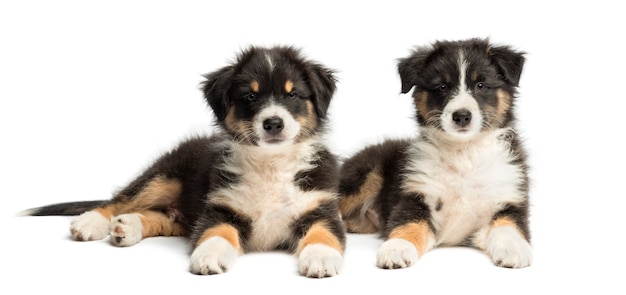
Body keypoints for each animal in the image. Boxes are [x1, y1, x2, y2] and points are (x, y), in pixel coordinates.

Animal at [23, 45, 346, 278]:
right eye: (250, 97)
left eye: (293, 95)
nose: (273, 123)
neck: (272, 163)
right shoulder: (220, 207)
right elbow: (216, 232)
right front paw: (210, 255)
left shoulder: (321, 208)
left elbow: (324, 233)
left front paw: (320, 257)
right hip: (165, 177)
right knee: (121, 199)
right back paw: (92, 221)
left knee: (160, 218)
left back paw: (127, 227)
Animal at [336, 38, 532, 270]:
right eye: (442, 87)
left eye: (481, 85)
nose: (462, 116)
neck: (463, 153)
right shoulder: (416, 195)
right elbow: (408, 224)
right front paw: (397, 248)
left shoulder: (509, 199)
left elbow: (508, 226)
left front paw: (514, 249)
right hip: (365, 175)